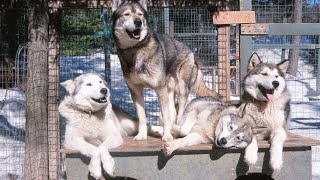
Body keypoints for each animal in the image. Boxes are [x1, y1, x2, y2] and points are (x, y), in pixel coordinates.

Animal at [112, 0, 220, 142]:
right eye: (126, 14)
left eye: (140, 14)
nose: (138, 22)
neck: (135, 50)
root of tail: (193, 55)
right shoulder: (136, 92)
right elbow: (142, 118)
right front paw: (141, 135)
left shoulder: (160, 90)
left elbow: (167, 116)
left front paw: (167, 136)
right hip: (169, 93)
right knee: (172, 113)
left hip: (181, 90)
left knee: (179, 114)